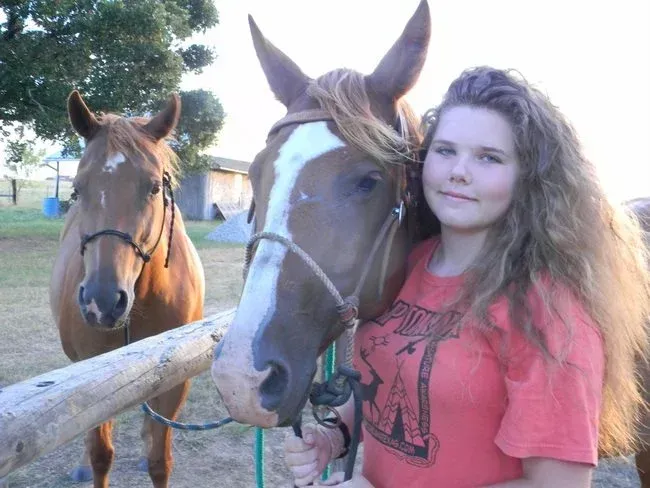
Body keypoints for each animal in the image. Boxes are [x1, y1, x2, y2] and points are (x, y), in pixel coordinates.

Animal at [49, 91, 205, 488]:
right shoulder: (92, 374)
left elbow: (160, 460)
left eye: (154, 187)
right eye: (77, 189)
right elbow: (101, 454)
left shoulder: (177, 380)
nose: (102, 302)